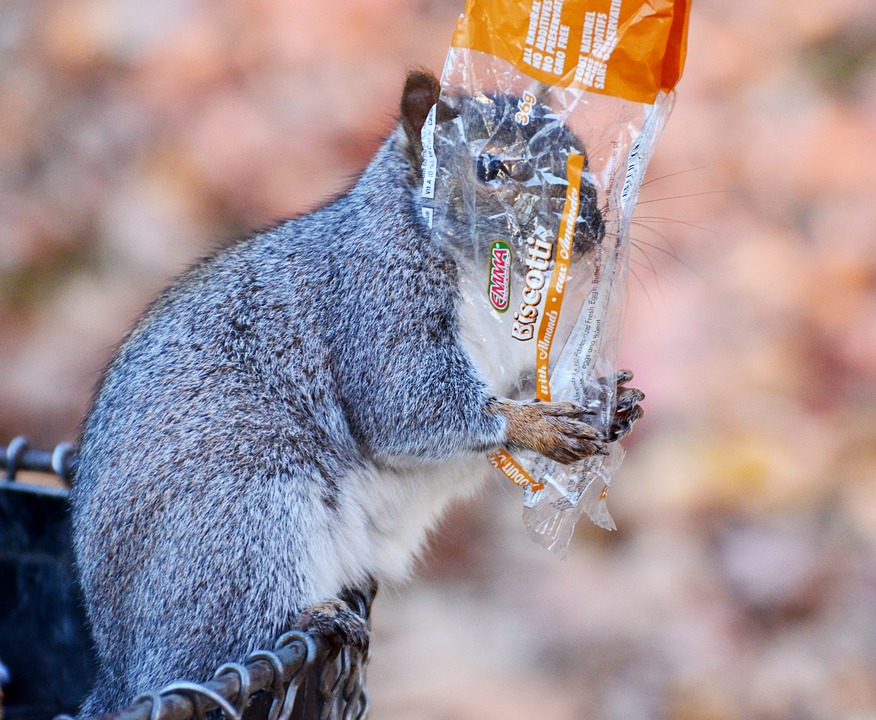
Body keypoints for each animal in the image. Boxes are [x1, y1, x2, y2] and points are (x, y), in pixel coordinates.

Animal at [70, 69, 644, 716]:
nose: (592, 230)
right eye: (490, 167)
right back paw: (310, 616)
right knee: (226, 637)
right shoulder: (376, 303)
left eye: (582, 154)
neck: (492, 280)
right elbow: (410, 408)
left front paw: (605, 401)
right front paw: (537, 424)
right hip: (243, 515)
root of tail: (123, 670)